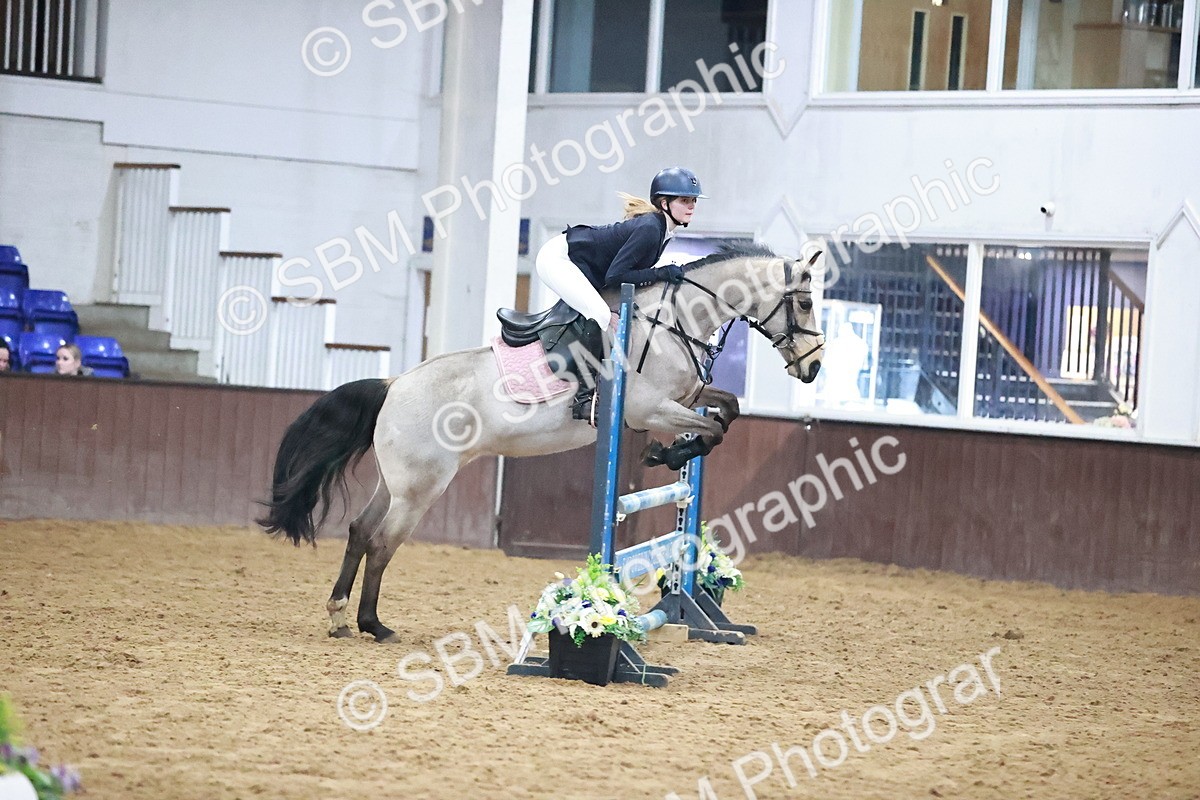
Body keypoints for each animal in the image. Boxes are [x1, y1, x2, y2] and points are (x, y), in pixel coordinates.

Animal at [258, 242, 825, 642]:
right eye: (803, 301)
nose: (815, 367)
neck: (671, 320)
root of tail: (394, 384)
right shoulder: (648, 408)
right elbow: (713, 430)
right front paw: (665, 453)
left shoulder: (687, 395)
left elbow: (726, 410)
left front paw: (669, 451)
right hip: (421, 488)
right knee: (380, 543)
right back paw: (374, 625)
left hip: (395, 483)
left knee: (359, 532)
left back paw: (338, 617)